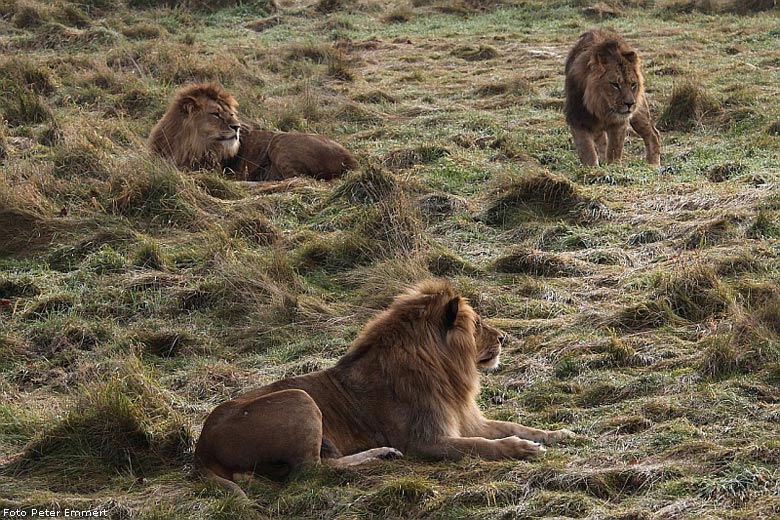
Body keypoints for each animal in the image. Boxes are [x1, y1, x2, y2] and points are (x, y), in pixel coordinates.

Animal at [148, 84, 358, 182]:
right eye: (216, 114)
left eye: (231, 113)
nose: (237, 126)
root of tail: (351, 159)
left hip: (280, 142)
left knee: (298, 180)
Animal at [195, 280, 572, 496]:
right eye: (478, 324)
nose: (504, 338)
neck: (447, 370)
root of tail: (201, 447)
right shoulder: (425, 440)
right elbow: (481, 445)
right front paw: (522, 449)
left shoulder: (466, 420)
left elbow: (512, 424)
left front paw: (557, 434)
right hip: (298, 398)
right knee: (310, 471)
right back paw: (381, 454)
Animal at [564, 29, 660, 167]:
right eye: (615, 84)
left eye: (632, 84)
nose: (630, 103)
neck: (601, 107)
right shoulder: (577, 119)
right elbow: (587, 151)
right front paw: (593, 168)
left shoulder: (618, 123)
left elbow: (614, 149)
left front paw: (613, 167)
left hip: (639, 112)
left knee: (653, 134)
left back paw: (653, 165)